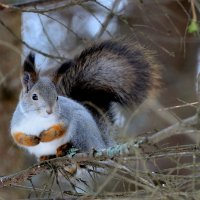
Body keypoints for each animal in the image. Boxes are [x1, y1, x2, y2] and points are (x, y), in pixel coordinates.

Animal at [10, 38, 161, 161]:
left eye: (57, 97)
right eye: (34, 96)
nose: (49, 111)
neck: (39, 119)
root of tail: (101, 143)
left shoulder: (64, 117)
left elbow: (60, 128)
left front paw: (46, 135)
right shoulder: (17, 124)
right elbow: (18, 138)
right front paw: (31, 140)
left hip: (80, 128)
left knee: (80, 146)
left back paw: (64, 148)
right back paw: (46, 157)